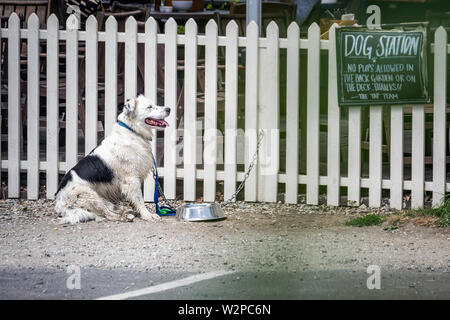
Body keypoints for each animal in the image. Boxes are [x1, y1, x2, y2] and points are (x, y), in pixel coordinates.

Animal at [55, 94, 171, 224]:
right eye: (149, 107)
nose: (169, 109)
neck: (132, 131)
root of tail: (60, 206)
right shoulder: (130, 179)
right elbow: (139, 199)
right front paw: (147, 215)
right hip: (87, 194)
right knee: (107, 214)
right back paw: (125, 216)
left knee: (107, 209)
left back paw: (124, 210)